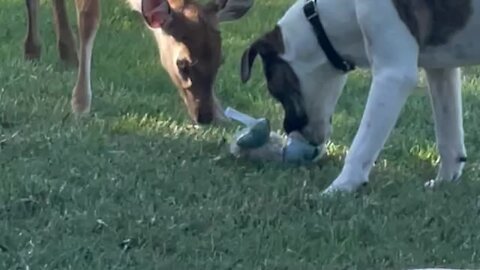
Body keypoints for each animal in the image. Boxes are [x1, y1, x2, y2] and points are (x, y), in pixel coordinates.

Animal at [242, 0, 474, 194]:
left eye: (276, 91)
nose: (288, 129)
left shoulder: (393, 76)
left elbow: (361, 146)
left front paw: (339, 188)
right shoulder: (441, 70)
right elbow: (448, 134)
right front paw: (445, 180)